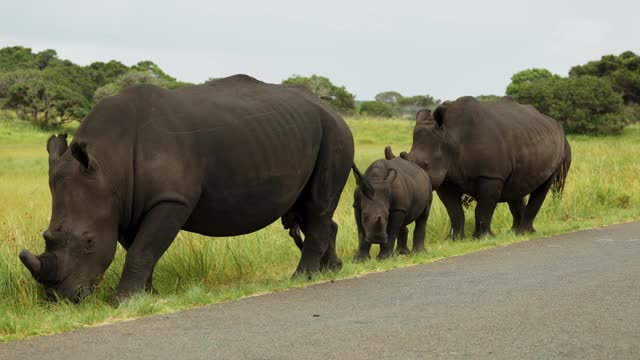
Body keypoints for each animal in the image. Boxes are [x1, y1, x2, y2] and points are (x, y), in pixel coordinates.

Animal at [18, 75, 356, 304]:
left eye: (89, 242)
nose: (60, 298)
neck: (109, 164)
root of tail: (332, 110)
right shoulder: (127, 203)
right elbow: (138, 246)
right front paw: (148, 296)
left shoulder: (170, 200)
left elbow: (143, 247)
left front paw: (121, 301)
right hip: (302, 134)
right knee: (309, 210)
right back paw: (332, 270)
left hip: (335, 133)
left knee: (318, 204)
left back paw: (303, 277)